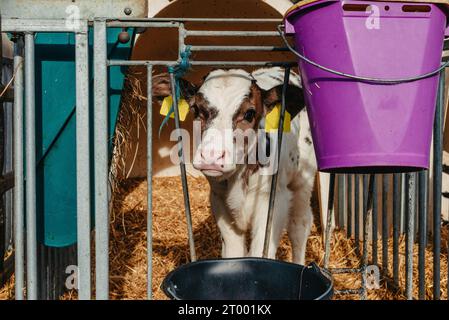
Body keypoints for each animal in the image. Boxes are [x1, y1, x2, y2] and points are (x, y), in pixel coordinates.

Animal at [152, 67, 316, 264]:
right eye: (196, 109)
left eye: (249, 113)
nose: (211, 156)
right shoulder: (219, 200)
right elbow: (233, 253)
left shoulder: (273, 200)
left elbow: (261, 252)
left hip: (303, 179)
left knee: (300, 224)